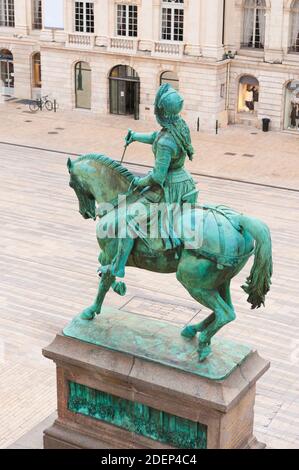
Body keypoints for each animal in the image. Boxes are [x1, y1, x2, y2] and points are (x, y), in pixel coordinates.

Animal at [67, 153, 274, 360]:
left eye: (71, 184)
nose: (85, 213)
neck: (122, 203)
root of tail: (236, 221)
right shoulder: (107, 256)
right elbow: (105, 276)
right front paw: (118, 288)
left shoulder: (109, 254)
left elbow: (105, 280)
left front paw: (91, 310)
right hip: (221, 281)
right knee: (228, 310)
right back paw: (193, 330)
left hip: (193, 282)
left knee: (224, 313)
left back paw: (203, 343)